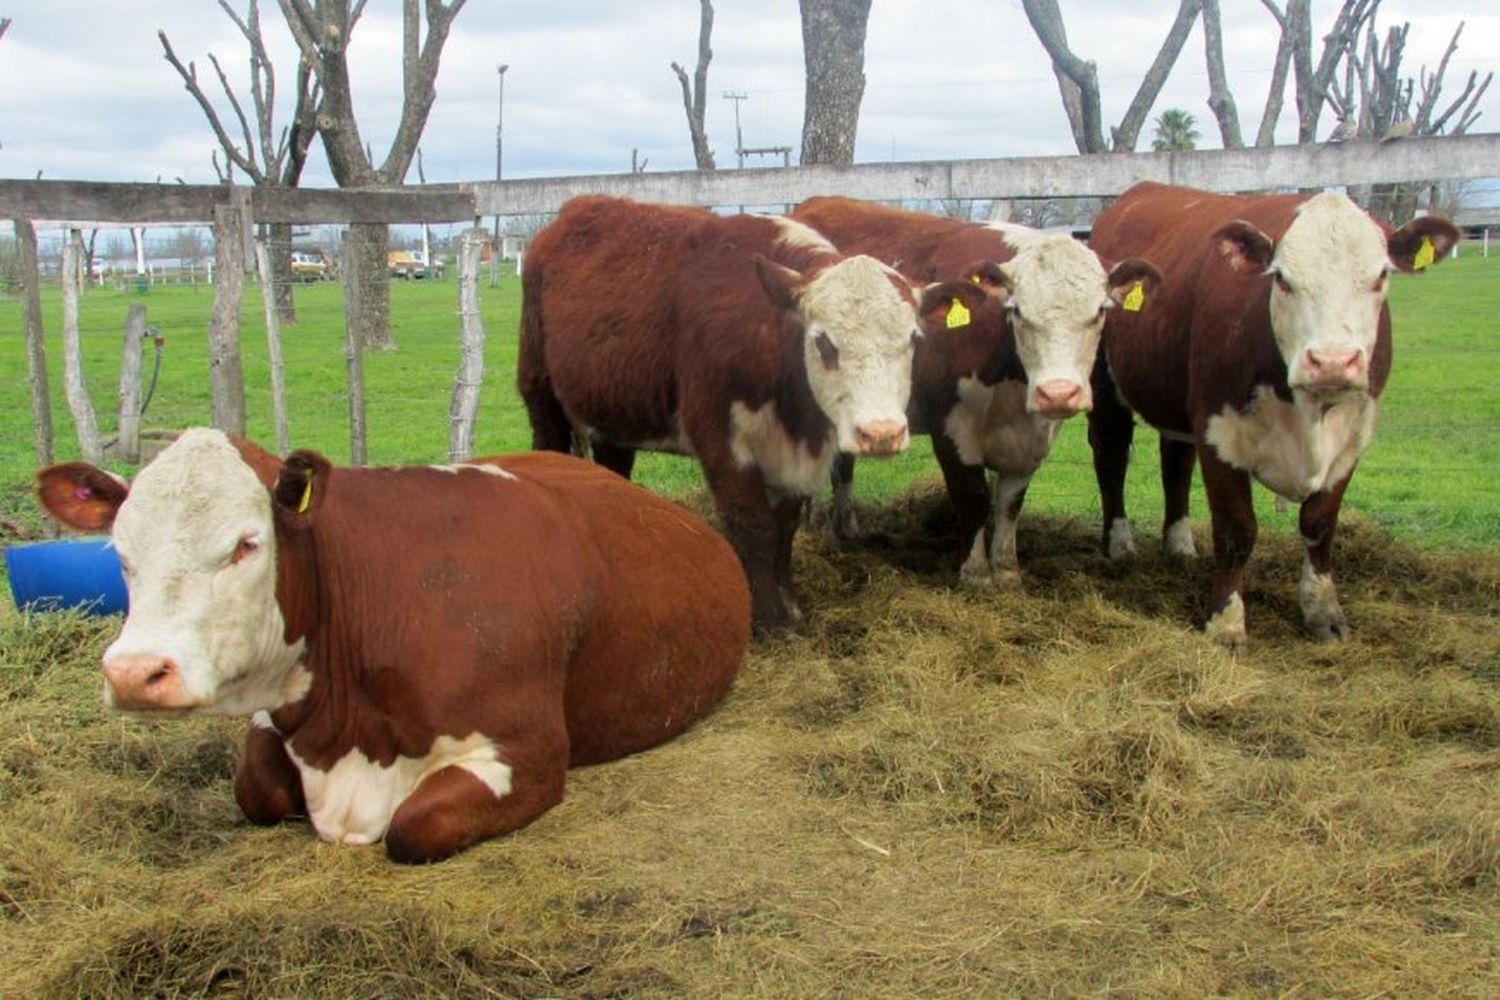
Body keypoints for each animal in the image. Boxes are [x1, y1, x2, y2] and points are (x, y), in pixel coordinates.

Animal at [29, 431, 744, 863]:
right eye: (120, 553)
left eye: (245, 544)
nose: (134, 673)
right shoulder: (278, 712)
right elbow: (255, 789)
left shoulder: (529, 751)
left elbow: (413, 827)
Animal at [522, 196, 978, 632]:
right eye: (824, 342)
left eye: (914, 338)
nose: (881, 433)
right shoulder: (718, 436)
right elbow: (753, 523)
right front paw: (769, 620)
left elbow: (784, 526)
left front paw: (791, 608)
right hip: (540, 392)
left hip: (614, 410)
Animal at [792, 193, 1164, 587]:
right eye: (1017, 311)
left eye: (1100, 311)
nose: (1058, 393)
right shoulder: (950, 428)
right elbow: (971, 496)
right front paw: (976, 573)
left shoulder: (1034, 438)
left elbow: (1010, 503)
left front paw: (1007, 571)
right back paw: (817, 526)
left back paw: (846, 525)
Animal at [1086, 179, 1458, 650]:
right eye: (1281, 279)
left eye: (1381, 276)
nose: (1332, 362)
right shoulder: (1218, 429)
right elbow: (1237, 530)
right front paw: (1226, 622)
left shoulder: (1352, 440)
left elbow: (1319, 525)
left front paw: (1323, 611)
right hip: (1107, 389)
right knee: (1112, 459)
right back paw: (1120, 545)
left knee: (1176, 464)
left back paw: (1180, 545)